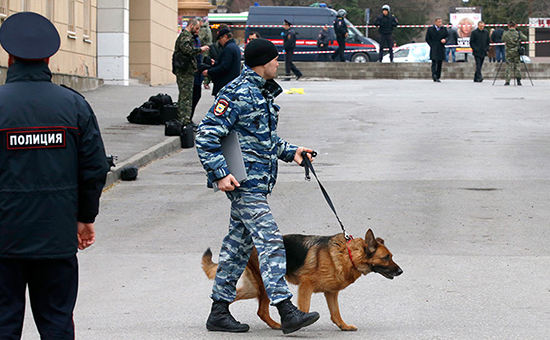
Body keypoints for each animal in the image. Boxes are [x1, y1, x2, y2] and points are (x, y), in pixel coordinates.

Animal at [205, 230, 404, 330]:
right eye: (386, 257)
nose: (401, 271)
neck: (348, 254)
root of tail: (251, 246)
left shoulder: (331, 293)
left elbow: (336, 314)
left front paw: (344, 326)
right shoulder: (306, 286)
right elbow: (305, 308)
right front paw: (300, 323)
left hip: (254, 288)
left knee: (238, 300)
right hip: (265, 284)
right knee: (261, 309)